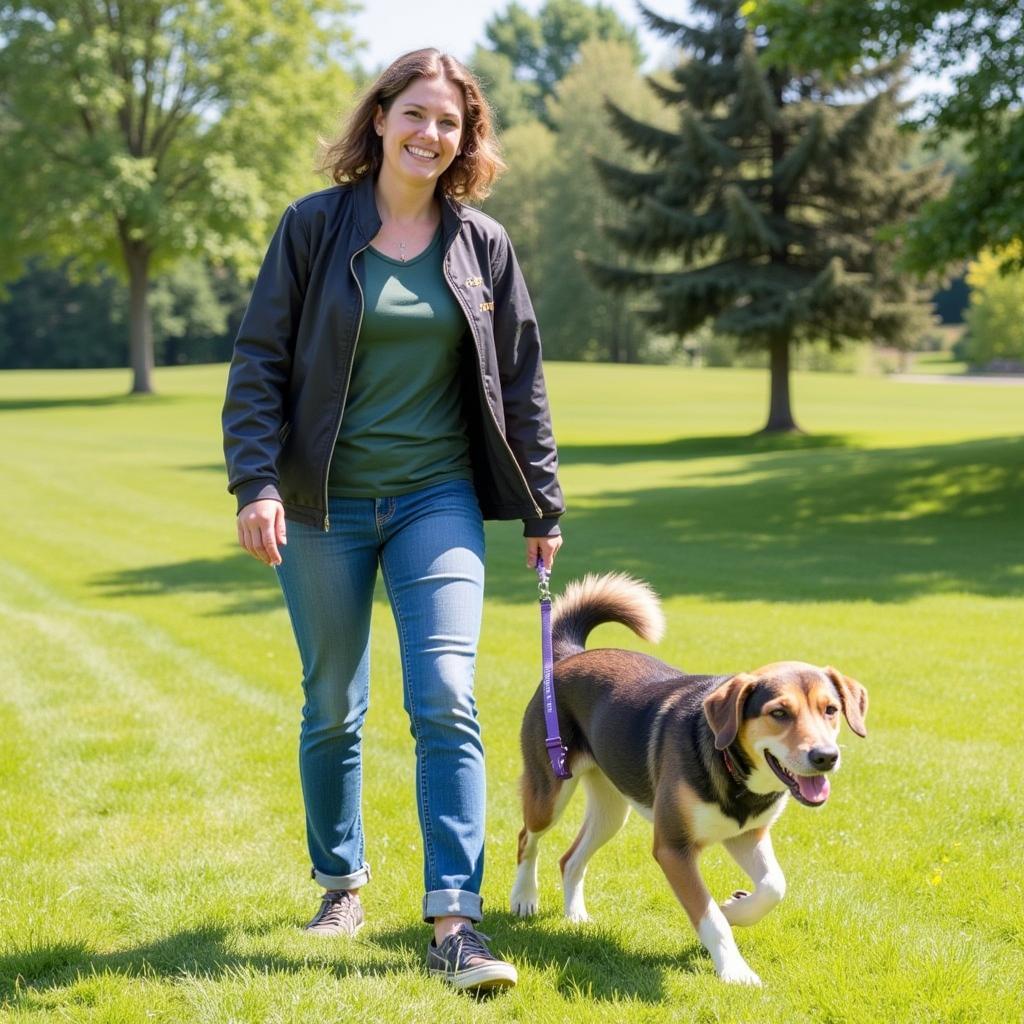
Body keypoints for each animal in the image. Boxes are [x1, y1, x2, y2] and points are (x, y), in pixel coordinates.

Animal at [509, 577, 864, 983]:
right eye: (779, 713)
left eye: (830, 710)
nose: (825, 757)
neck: (733, 772)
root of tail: (569, 656)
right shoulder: (673, 848)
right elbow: (709, 917)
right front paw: (735, 971)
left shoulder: (747, 835)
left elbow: (775, 886)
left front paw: (735, 908)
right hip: (548, 792)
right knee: (527, 838)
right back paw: (524, 898)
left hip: (611, 811)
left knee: (570, 859)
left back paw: (576, 916)